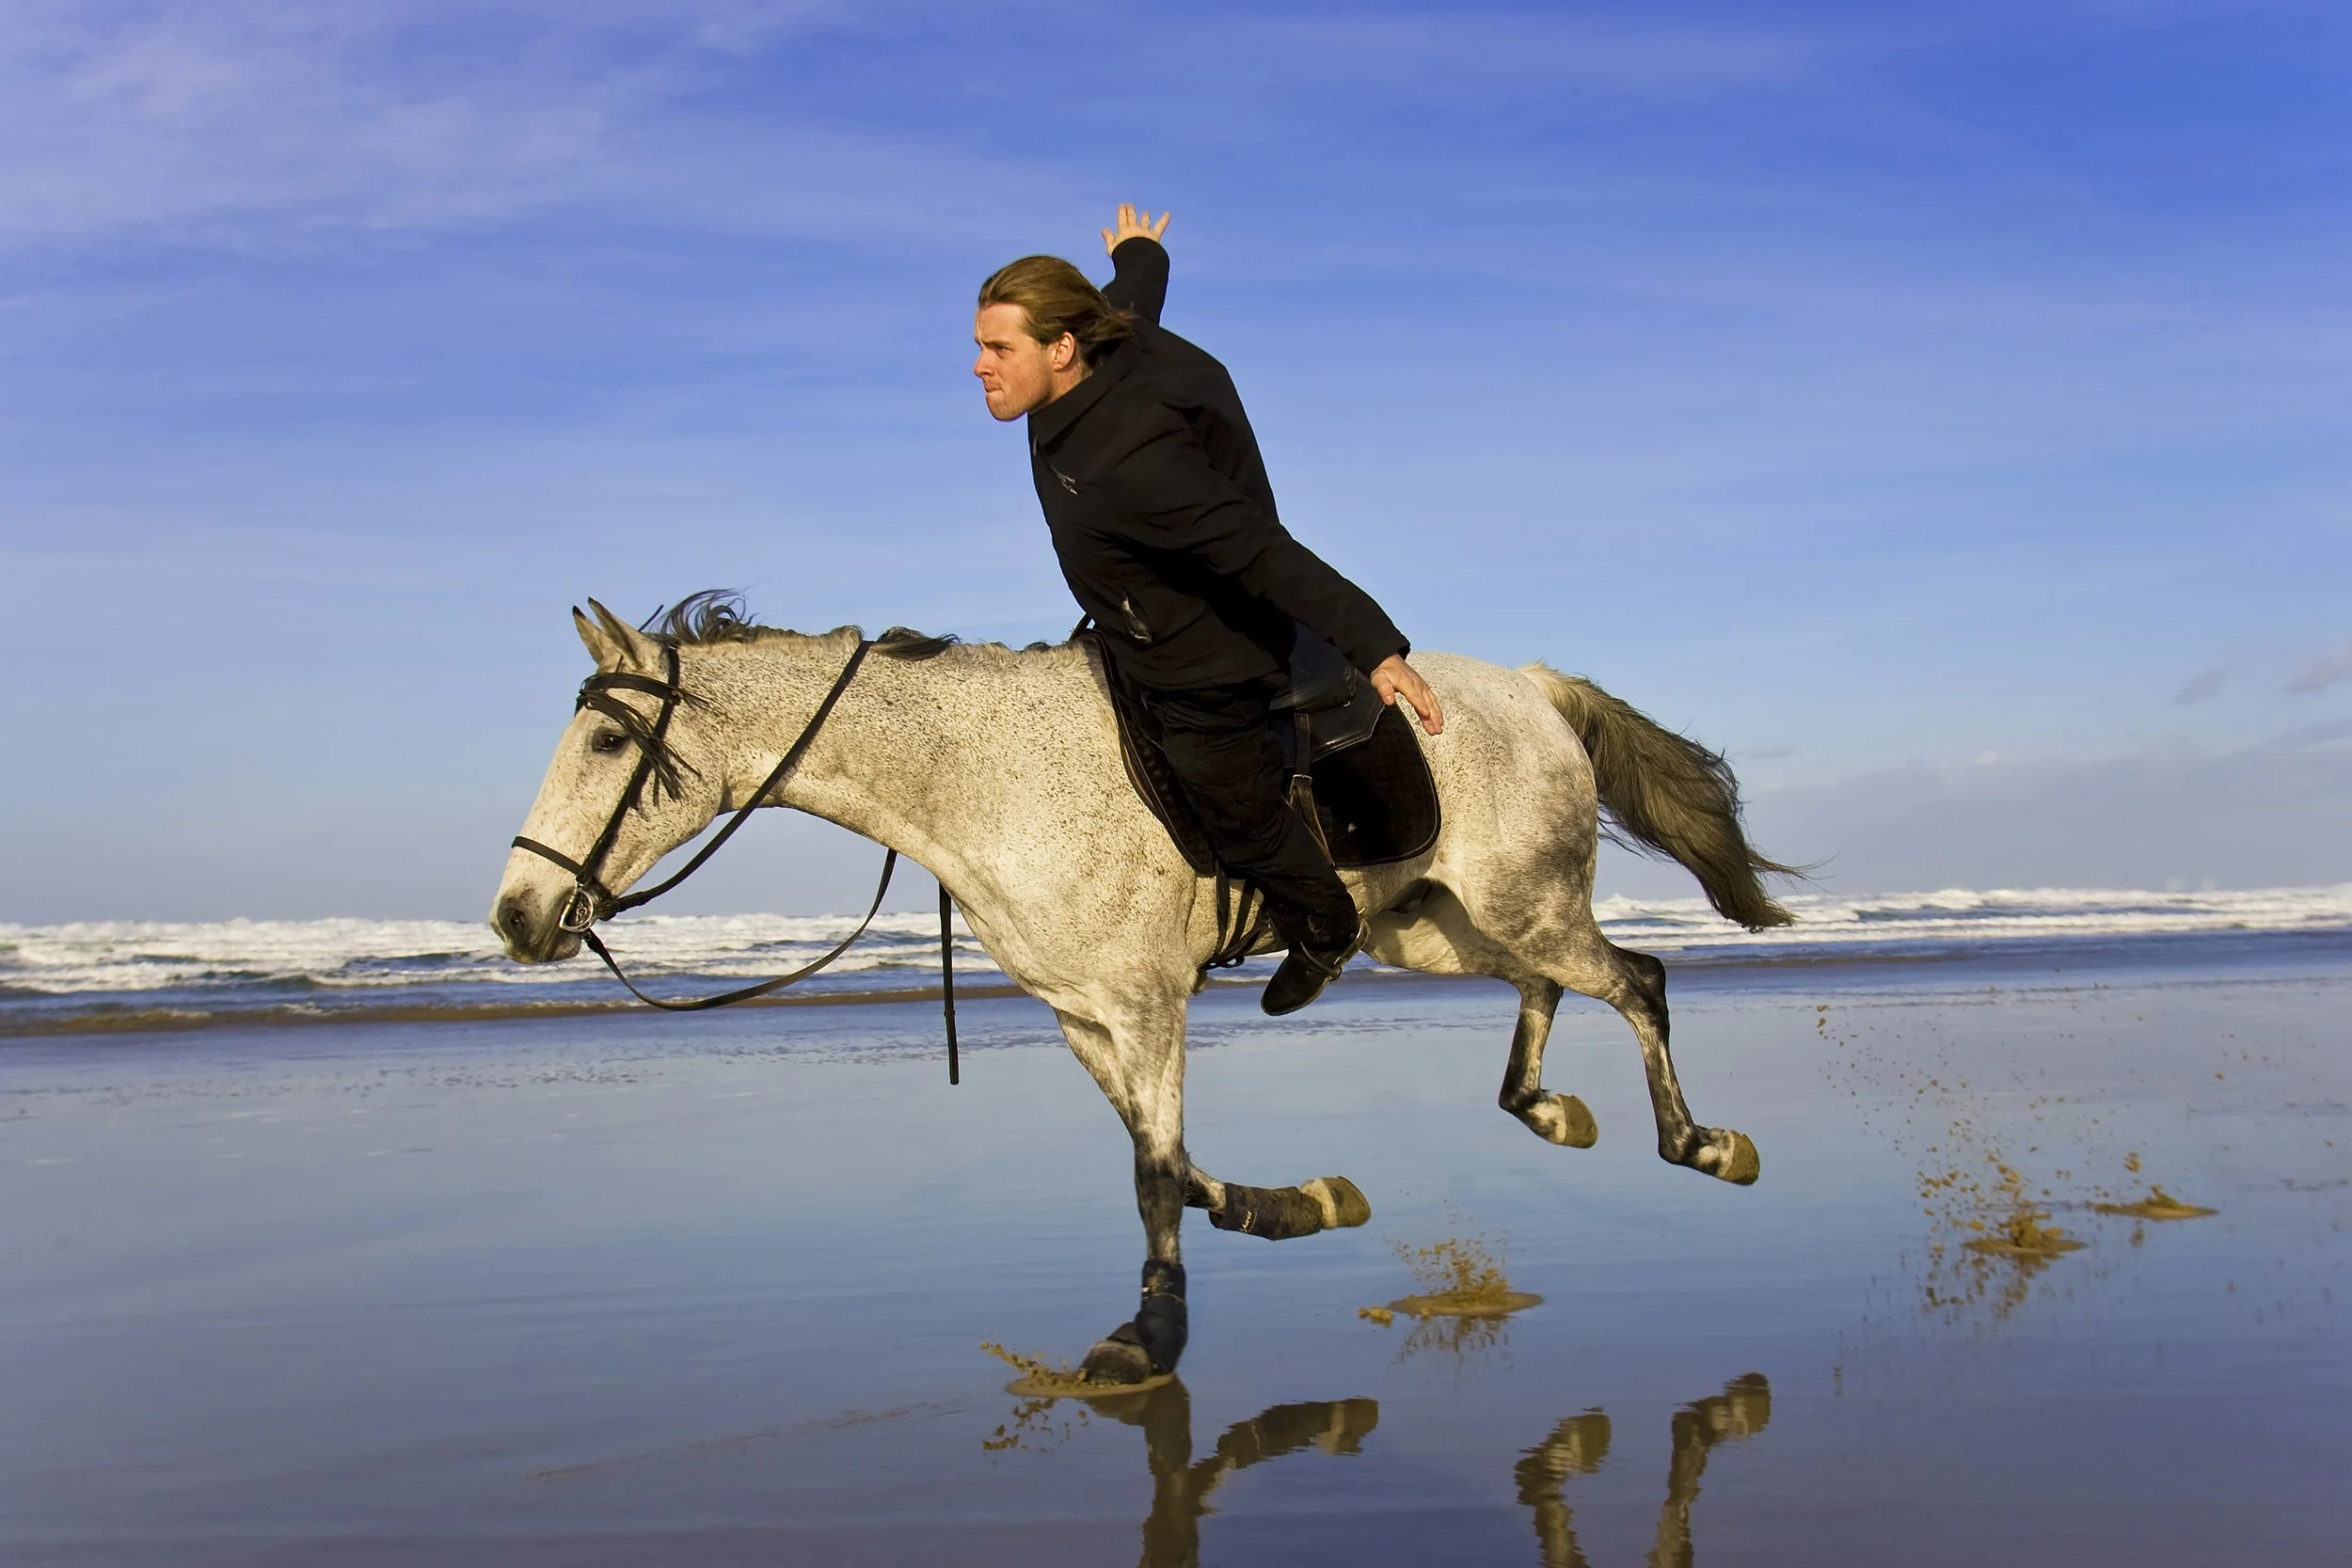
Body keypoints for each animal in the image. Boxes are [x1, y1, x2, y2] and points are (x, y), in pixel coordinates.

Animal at [492, 594, 1797, 1385]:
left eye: (607, 744)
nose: (514, 915)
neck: (986, 775)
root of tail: (1531, 685)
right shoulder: (1084, 1016)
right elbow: (1165, 1158)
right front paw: (1295, 1203)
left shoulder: (1144, 1002)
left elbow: (1153, 1173)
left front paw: (1154, 1332)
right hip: (1436, 928)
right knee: (1553, 989)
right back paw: (1548, 1107)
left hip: (1520, 906)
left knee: (1637, 978)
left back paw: (1701, 1142)